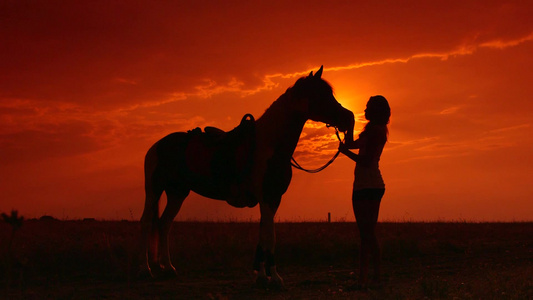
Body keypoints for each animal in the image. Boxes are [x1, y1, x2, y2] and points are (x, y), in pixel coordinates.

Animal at [140, 65, 354, 286]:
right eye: (321, 95)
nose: (349, 118)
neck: (269, 145)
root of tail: (157, 145)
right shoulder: (267, 197)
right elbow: (270, 236)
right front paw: (275, 277)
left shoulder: (273, 199)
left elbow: (264, 234)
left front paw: (262, 276)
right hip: (154, 190)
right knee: (146, 223)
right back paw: (146, 270)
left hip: (177, 193)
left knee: (164, 224)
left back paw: (167, 268)